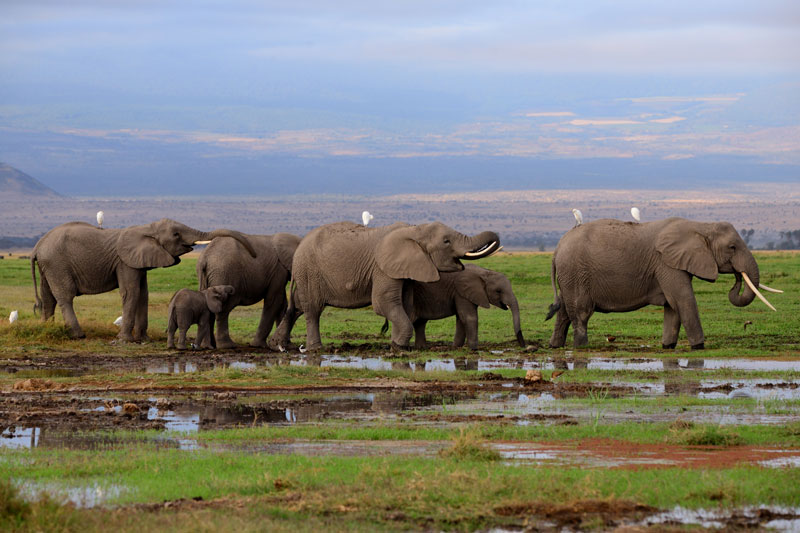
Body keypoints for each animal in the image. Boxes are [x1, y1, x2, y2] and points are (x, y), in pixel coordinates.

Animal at [31, 219, 256, 341]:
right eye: (176, 234)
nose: (254, 255)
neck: (147, 228)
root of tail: (37, 246)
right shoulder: (125, 262)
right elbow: (131, 292)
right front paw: (125, 340)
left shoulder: (139, 261)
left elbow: (143, 293)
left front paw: (143, 339)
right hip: (57, 262)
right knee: (65, 296)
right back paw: (78, 334)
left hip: (48, 265)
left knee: (48, 296)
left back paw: (46, 328)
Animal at [272, 221, 501, 351]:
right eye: (446, 241)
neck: (414, 229)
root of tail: (300, 246)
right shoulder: (382, 267)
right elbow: (384, 303)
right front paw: (399, 347)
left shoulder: (405, 269)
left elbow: (405, 305)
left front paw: (397, 344)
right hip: (309, 271)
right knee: (313, 310)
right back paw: (315, 349)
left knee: (297, 308)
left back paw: (279, 345)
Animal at [381, 264, 525, 350]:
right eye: (498, 291)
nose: (524, 346)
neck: (484, 272)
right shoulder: (461, 293)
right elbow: (469, 317)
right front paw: (474, 349)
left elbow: (461, 319)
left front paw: (456, 347)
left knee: (420, 323)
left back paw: (421, 348)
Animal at [546, 217, 779, 349]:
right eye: (732, 247)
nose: (738, 277)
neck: (700, 226)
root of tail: (556, 249)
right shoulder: (666, 263)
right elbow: (683, 301)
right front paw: (699, 347)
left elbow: (672, 308)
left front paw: (668, 346)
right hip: (576, 273)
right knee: (581, 313)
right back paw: (581, 348)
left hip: (569, 276)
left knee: (564, 312)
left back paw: (555, 347)